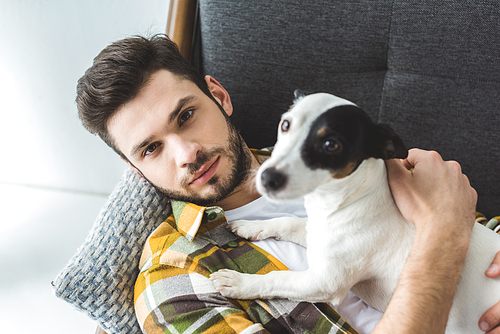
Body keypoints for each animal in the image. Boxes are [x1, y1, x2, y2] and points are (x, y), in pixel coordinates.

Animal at [211, 91, 500, 334]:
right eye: (285, 125)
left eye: (331, 145)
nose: (267, 177)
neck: (341, 204)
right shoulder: (317, 236)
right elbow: (287, 222)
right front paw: (250, 226)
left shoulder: (323, 282)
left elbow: (278, 278)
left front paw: (240, 283)